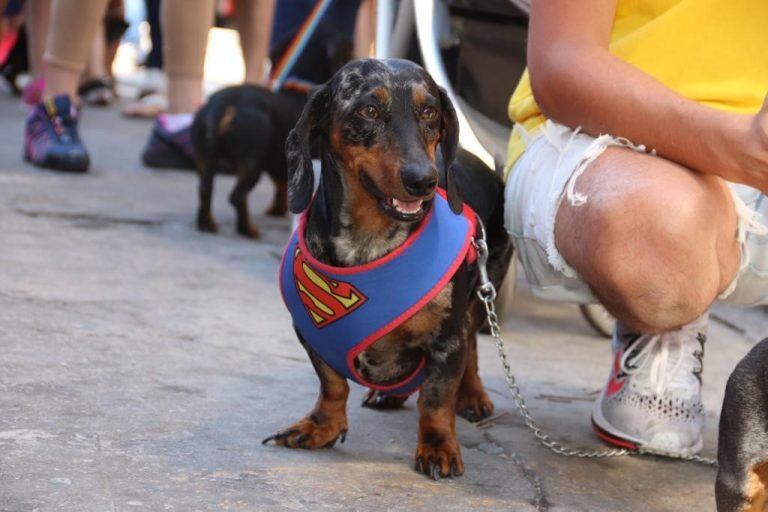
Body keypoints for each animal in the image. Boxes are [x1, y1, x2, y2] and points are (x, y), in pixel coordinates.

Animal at [266, 60, 516, 480]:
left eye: (429, 112)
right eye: (369, 110)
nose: (424, 180)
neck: (369, 241)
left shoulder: (446, 340)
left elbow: (435, 399)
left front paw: (438, 446)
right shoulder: (309, 332)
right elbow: (332, 384)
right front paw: (321, 425)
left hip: (484, 291)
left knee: (473, 346)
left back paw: (472, 394)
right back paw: (392, 392)